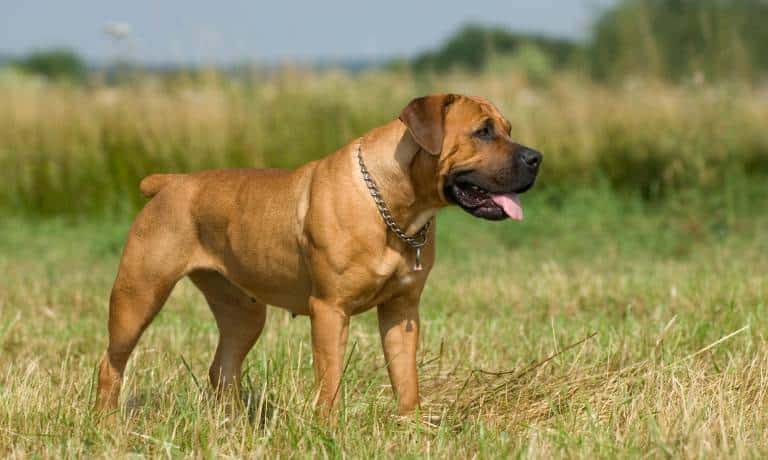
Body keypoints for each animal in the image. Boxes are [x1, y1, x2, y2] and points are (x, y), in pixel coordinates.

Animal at [94, 93, 540, 416]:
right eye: (483, 132)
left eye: (508, 129)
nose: (536, 158)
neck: (394, 205)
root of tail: (170, 182)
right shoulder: (329, 309)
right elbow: (330, 378)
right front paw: (328, 428)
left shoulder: (402, 311)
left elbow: (405, 377)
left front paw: (412, 425)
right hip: (138, 295)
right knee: (111, 363)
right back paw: (106, 422)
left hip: (243, 312)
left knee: (223, 367)